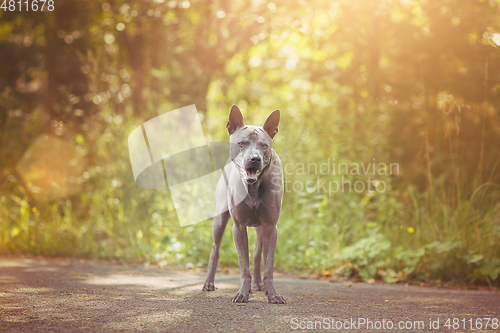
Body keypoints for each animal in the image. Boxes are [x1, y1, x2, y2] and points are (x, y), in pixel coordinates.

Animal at [200, 104, 286, 304]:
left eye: (264, 145)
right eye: (241, 144)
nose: (255, 159)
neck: (252, 187)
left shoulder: (271, 227)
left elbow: (268, 265)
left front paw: (272, 294)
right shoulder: (238, 227)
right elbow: (243, 266)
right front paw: (242, 293)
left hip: (262, 228)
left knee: (258, 254)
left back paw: (260, 285)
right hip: (219, 220)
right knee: (215, 250)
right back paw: (209, 283)